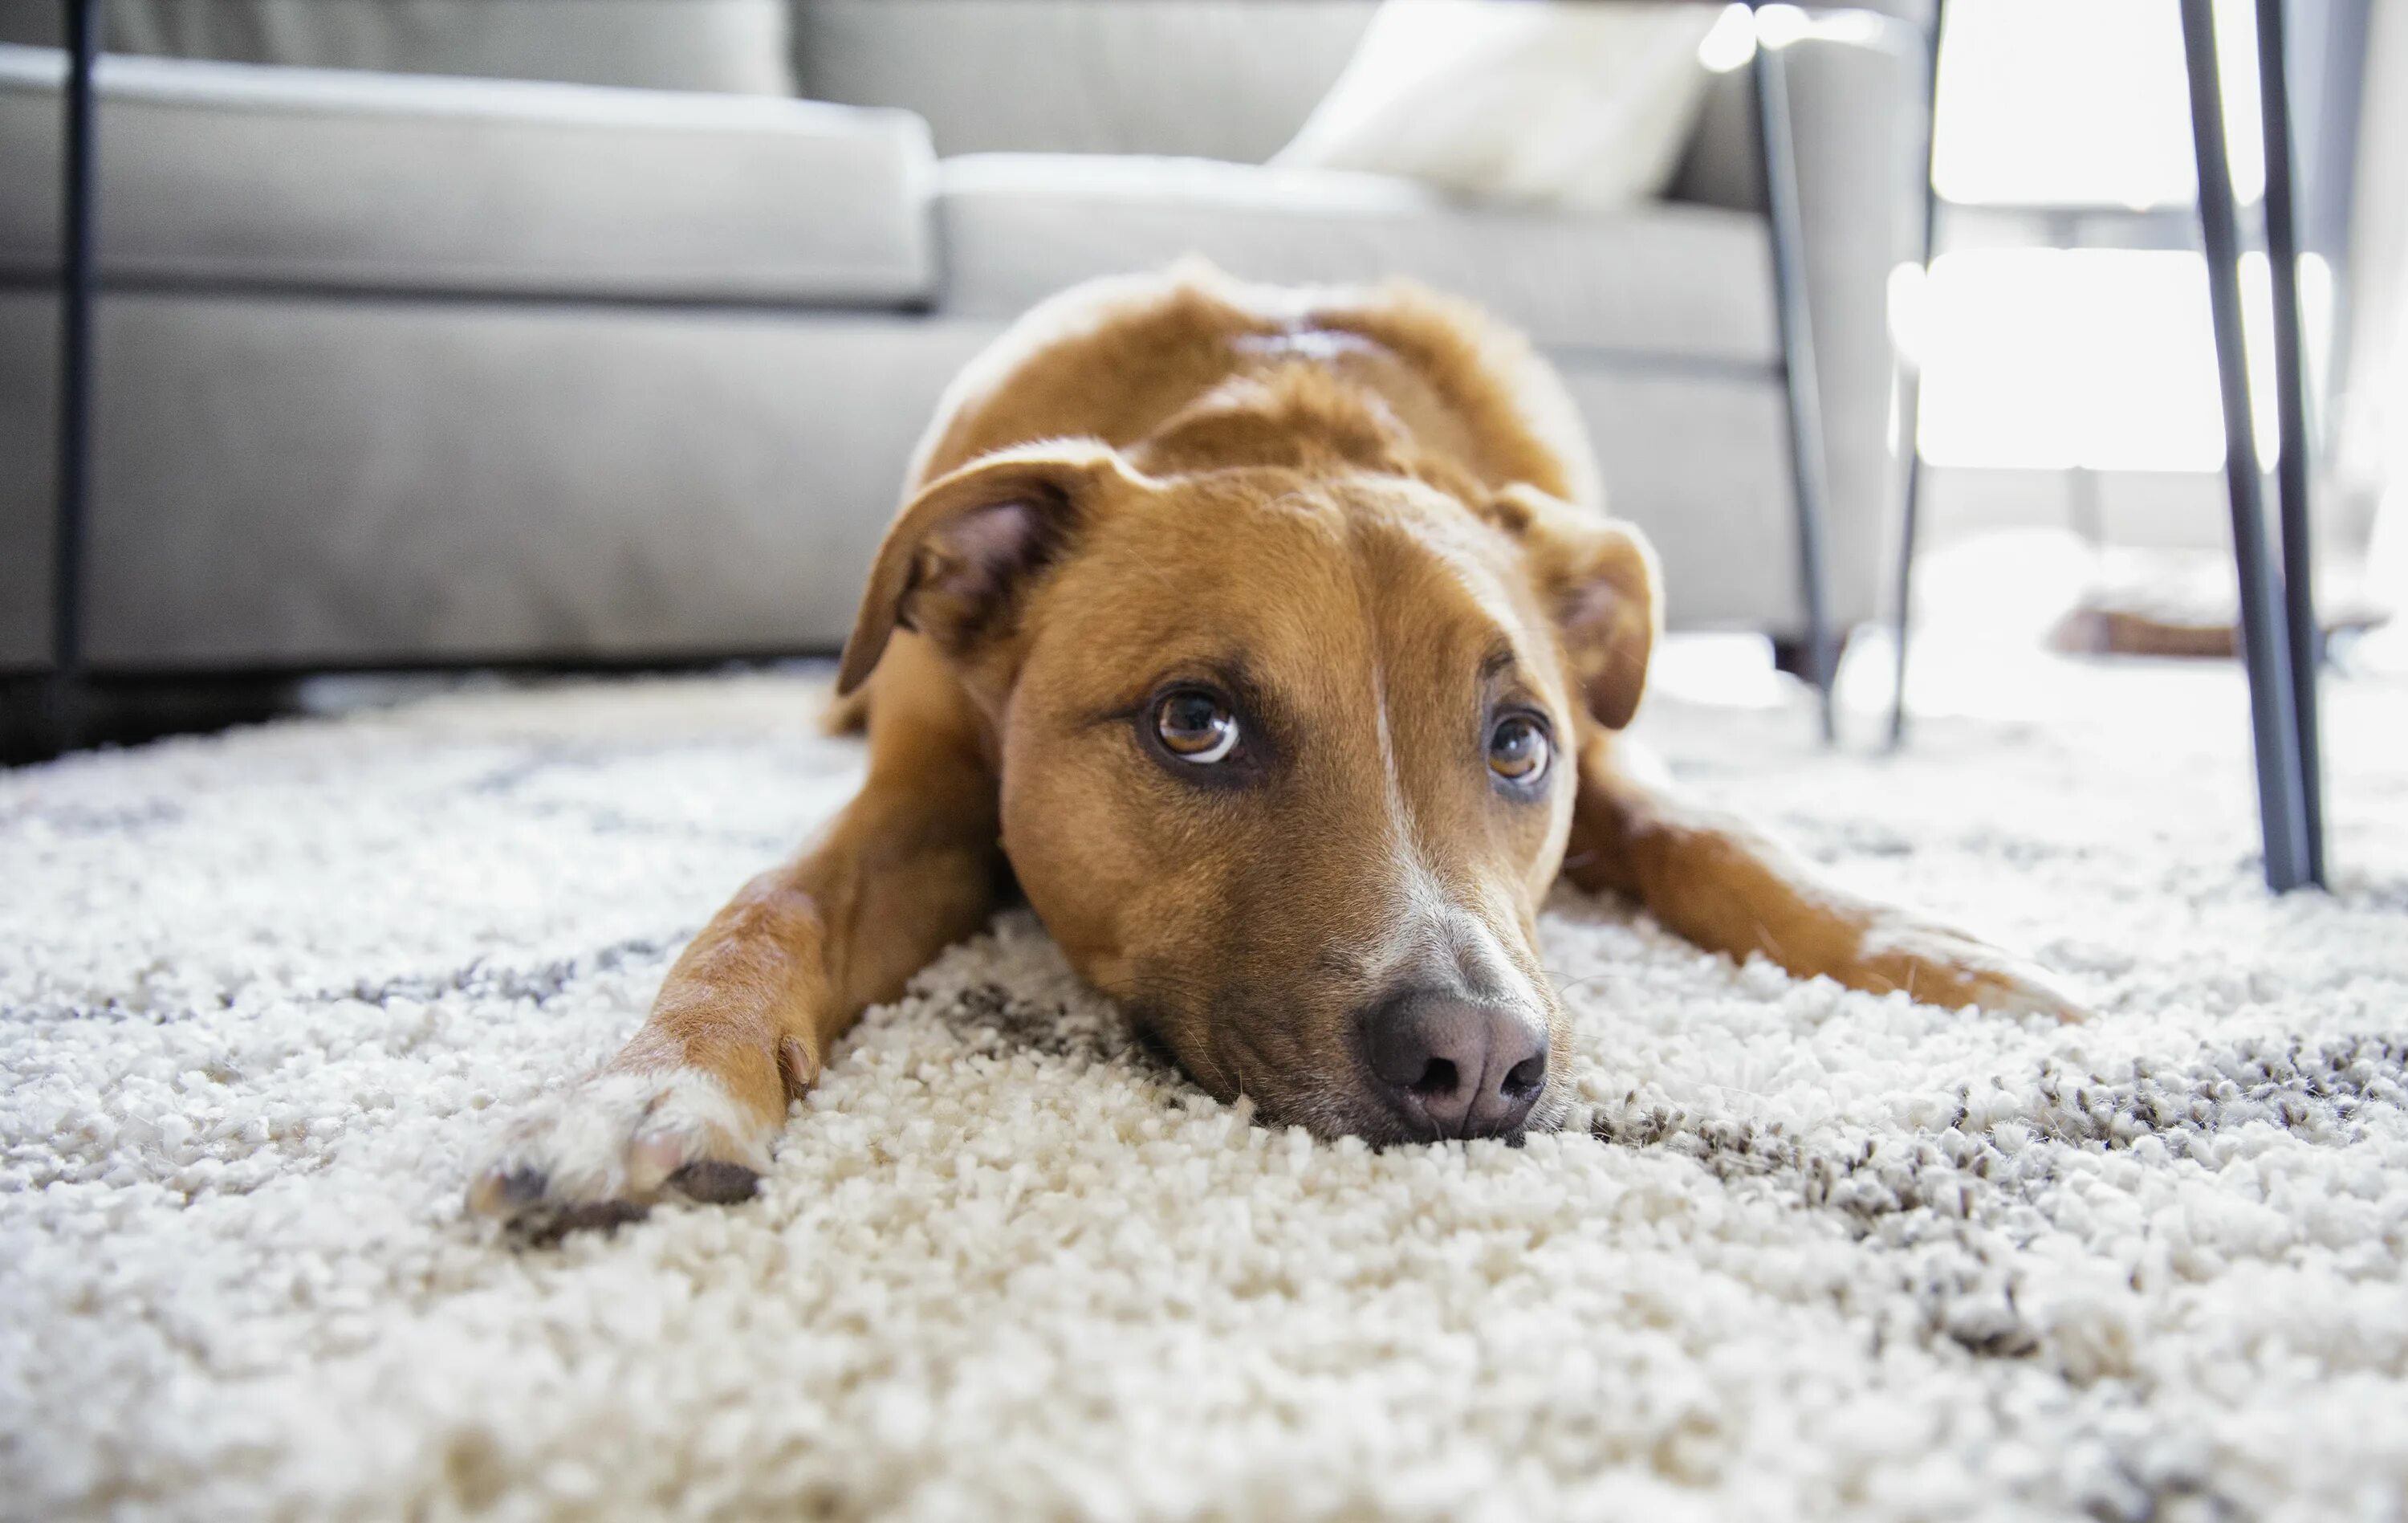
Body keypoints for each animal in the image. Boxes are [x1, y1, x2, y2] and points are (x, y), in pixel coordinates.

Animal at [474, 265, 2090, 1233]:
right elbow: (771, 906)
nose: (1479, 1060)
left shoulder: (1619, 761)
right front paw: (652, 1087)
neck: (1291, 424)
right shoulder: (925, 794)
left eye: (1520, 745)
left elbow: (1726, 837)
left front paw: (1932, 953)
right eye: (1195, 724)